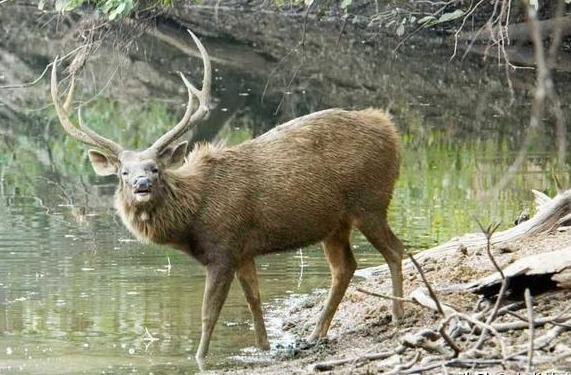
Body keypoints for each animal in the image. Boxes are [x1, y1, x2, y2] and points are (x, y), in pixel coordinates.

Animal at [50, 30, 406, 362]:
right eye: (123, 172)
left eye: (155, 168)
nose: (141, 185)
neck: (192, 219)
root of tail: (390, 129)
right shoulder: (244, 250)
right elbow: (254, 300)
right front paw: (264, 346)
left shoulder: (223, 248)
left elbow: (209, 313)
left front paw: (199, 357)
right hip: (334, 224)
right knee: (345, 267)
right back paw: (317, 332)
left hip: (371, 202)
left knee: (395, 250)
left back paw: (398, 314)